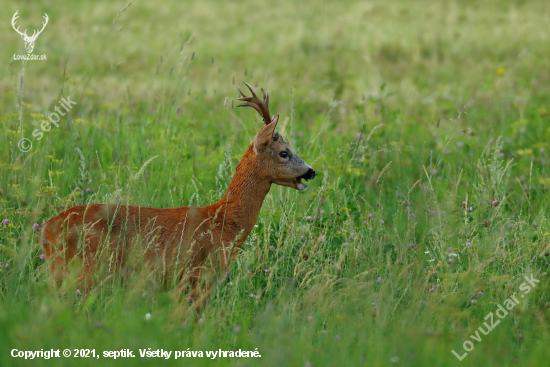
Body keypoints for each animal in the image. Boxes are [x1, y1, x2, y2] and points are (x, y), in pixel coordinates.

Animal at [41, 83, 316, 304]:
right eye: (284, 152)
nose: (311, 172)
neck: (223, 219)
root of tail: (46, 229)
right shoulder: (198, 276)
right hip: (83, 270)